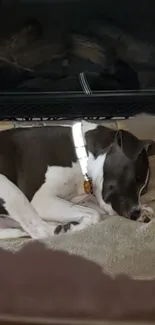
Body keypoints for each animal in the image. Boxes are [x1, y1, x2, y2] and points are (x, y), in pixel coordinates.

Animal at [0, 119, 154, 238]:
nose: (136, 213)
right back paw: (62, 228)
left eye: (144, 190)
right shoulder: (42, 200)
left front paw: (145, 210)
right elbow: (94, 215)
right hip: (10, 190)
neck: (82, 155)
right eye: (136, 178)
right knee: (41, 231)